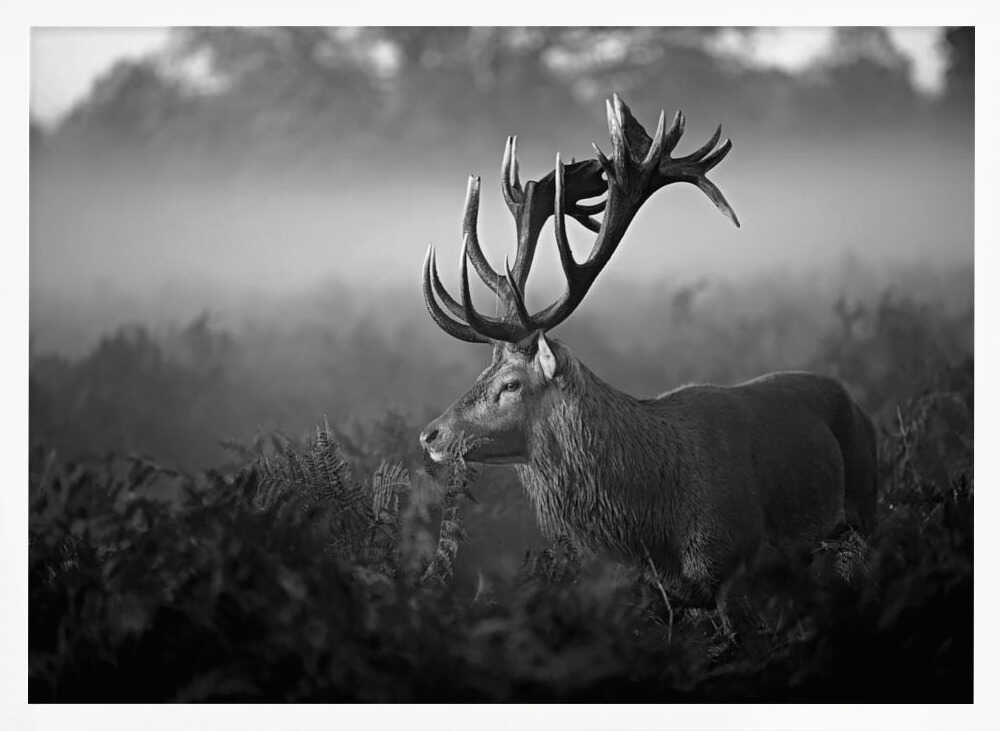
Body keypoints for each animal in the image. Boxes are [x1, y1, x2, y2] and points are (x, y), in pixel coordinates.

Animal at [418, 94, 878, 626]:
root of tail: (857, 403)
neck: (657, 525)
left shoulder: (732, 564)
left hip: (866, 504)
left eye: (511, 383)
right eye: (483, 371)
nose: (430, 435)